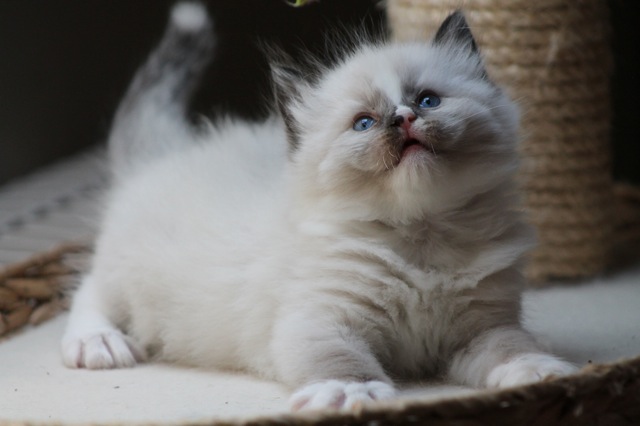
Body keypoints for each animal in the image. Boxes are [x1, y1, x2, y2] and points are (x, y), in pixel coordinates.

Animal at [62, 1, 576, 412]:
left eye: (427, 100)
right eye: (364, 123)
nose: (402, 119)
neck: (421, 237)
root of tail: (167, 152)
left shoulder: (482, 325)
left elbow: (511, 345)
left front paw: (541, 370)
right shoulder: (320, 319)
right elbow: (339, 360)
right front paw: (353, 395)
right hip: (127, 277)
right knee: (88, 290)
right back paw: (99, 343)